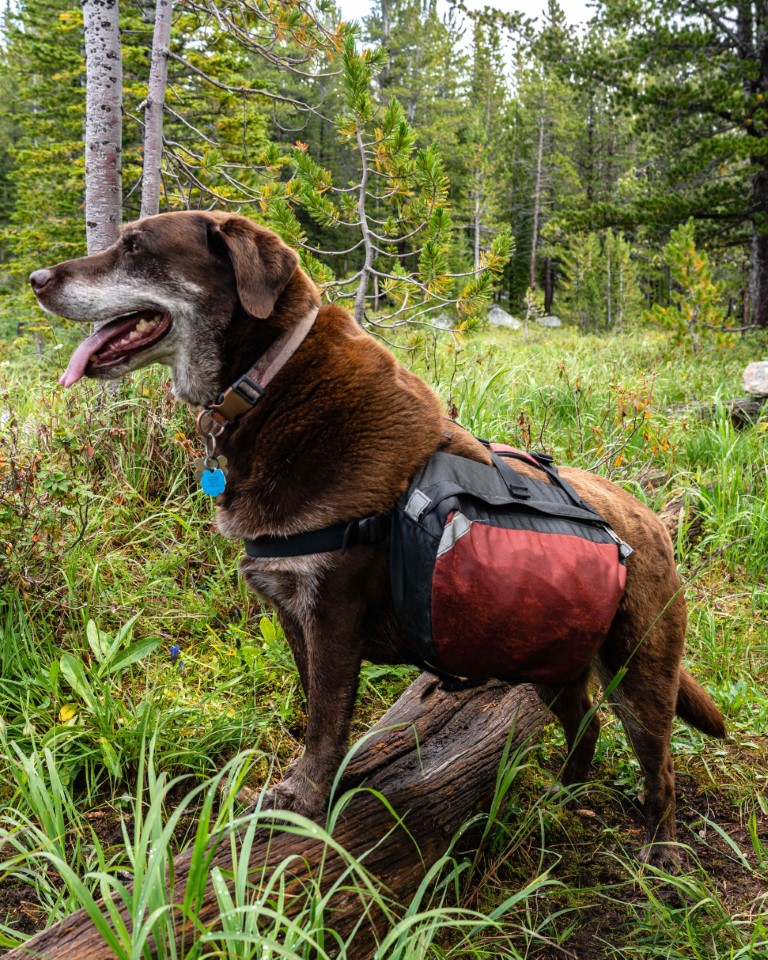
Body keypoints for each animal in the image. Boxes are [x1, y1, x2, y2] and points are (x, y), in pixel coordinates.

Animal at [31, 210, 728, 872]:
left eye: (136, 247)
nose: (36, 279)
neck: (269, 383)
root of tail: (653, 526)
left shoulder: (332, 613)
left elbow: (325, 721)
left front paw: (301, 798)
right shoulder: (295, 617)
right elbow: (319, 711)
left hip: (640, 670)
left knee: (659, 765)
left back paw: (660, 850)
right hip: (548, 659)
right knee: (584, 727)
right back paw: (563, 796)